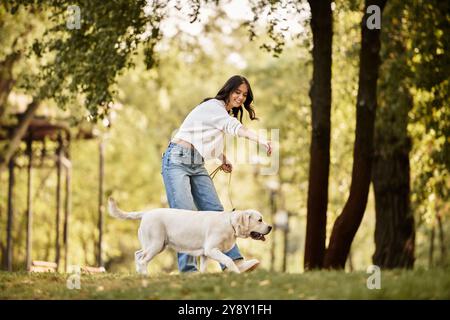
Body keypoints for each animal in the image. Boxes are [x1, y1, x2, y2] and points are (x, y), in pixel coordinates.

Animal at [107, 198, 272, 276]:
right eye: (260, 220)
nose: (270, 227)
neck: (229, 223)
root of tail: (146, 213)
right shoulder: (212, 249)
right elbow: (228, 260)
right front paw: (237, 273)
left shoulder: (205, 253)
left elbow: (204, 267)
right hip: (156, 244)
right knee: (143, 260)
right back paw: (145, 276)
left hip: (154, 245)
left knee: (138, 254)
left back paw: (139, 274)